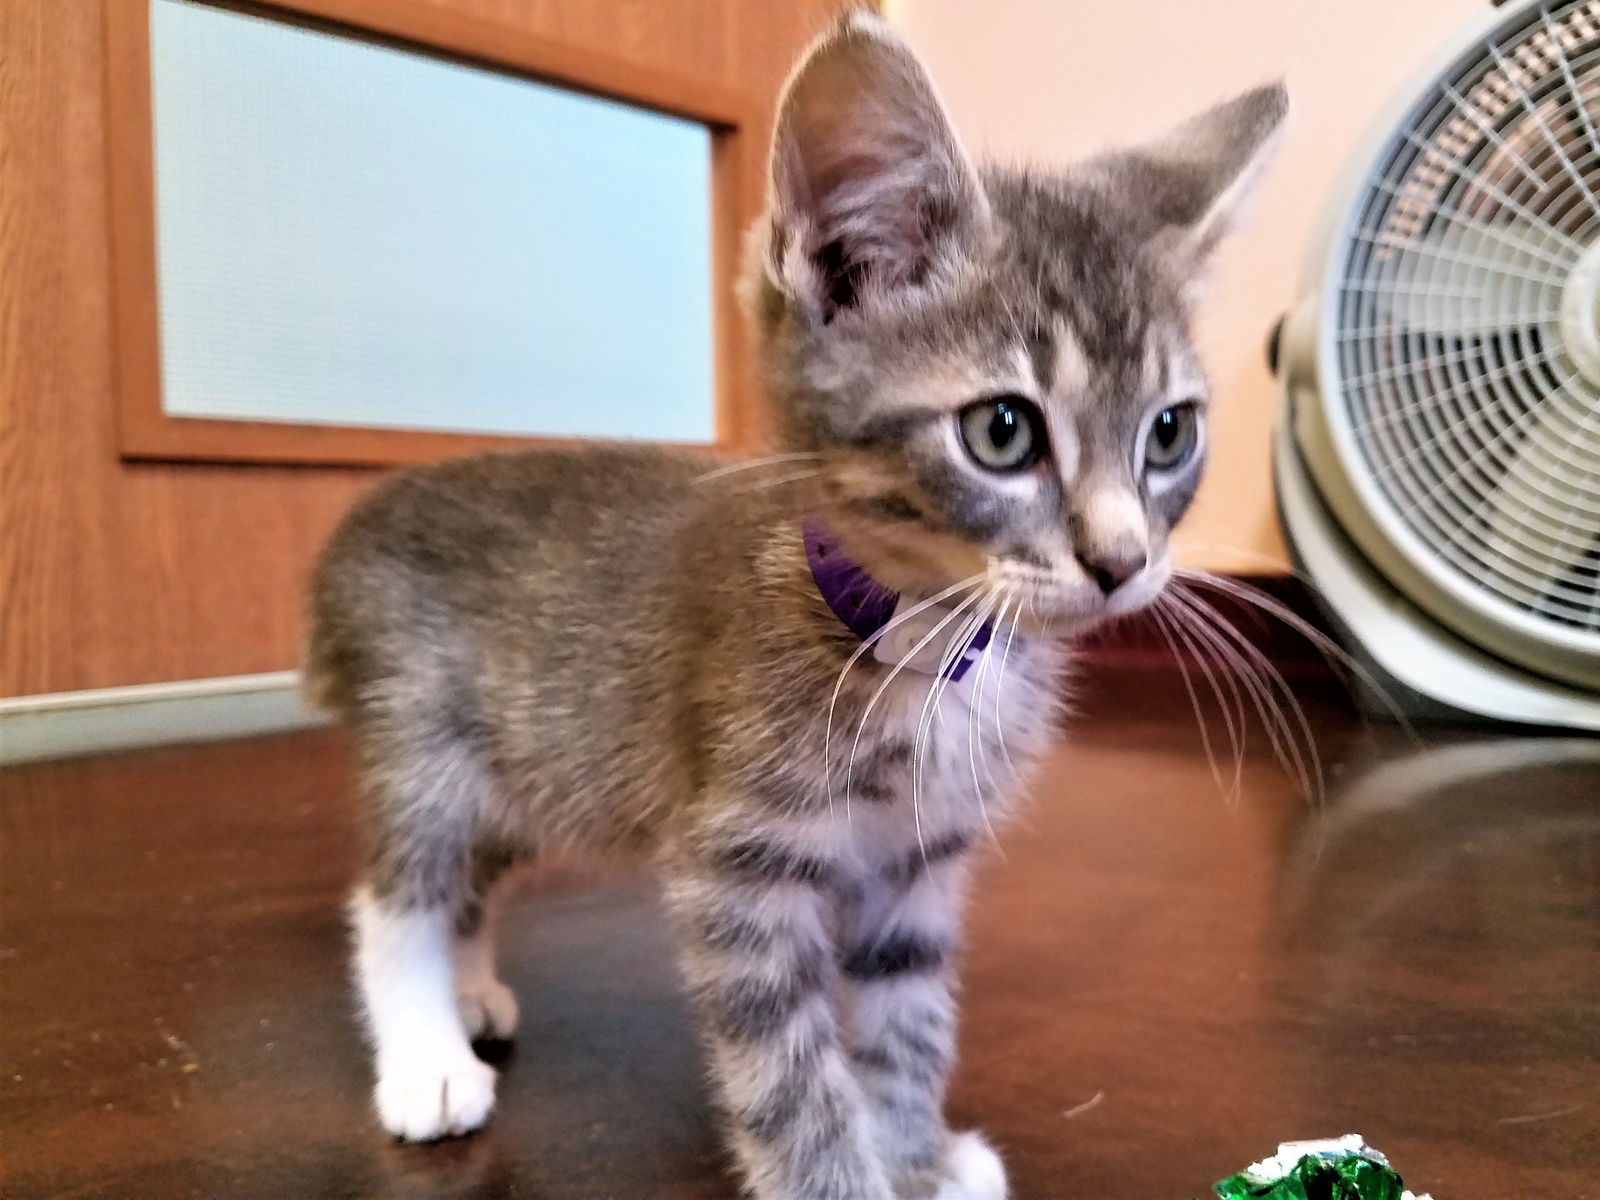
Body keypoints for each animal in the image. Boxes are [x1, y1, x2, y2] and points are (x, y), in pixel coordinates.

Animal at [305, 11, 1286, 1200]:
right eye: (1002, 431)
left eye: (1169, 433)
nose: (1122, 559)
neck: (914, 646)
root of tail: (367, 511)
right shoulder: (740, 870)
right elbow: (790, 1070)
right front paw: (843, 1174)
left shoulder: (916, 864)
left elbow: (904, 1017)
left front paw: (913, 1154)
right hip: (430, 743)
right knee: (401, 892)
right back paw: (427, 1053)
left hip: (532, 759)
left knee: (472, 883)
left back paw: (470, 993)